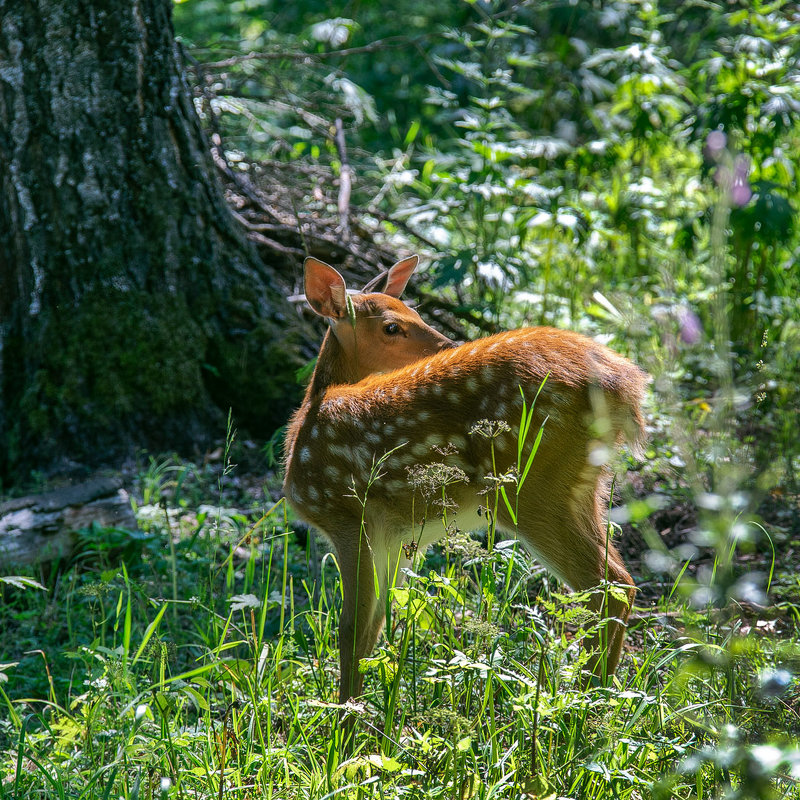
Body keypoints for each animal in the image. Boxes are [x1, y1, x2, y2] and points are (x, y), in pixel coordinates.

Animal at [284, 255, 648, 708]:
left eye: (416, 312)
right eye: (392, 326)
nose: (447, 344)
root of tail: (625, 385)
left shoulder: (349, 515)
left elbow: (350, 632)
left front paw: (345, 722)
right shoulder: (396, 537)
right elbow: (374, 629)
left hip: (531, 490)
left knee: (607, 587)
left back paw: (581, 706)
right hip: (583, 488)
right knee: (621, 581)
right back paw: (596, 697)